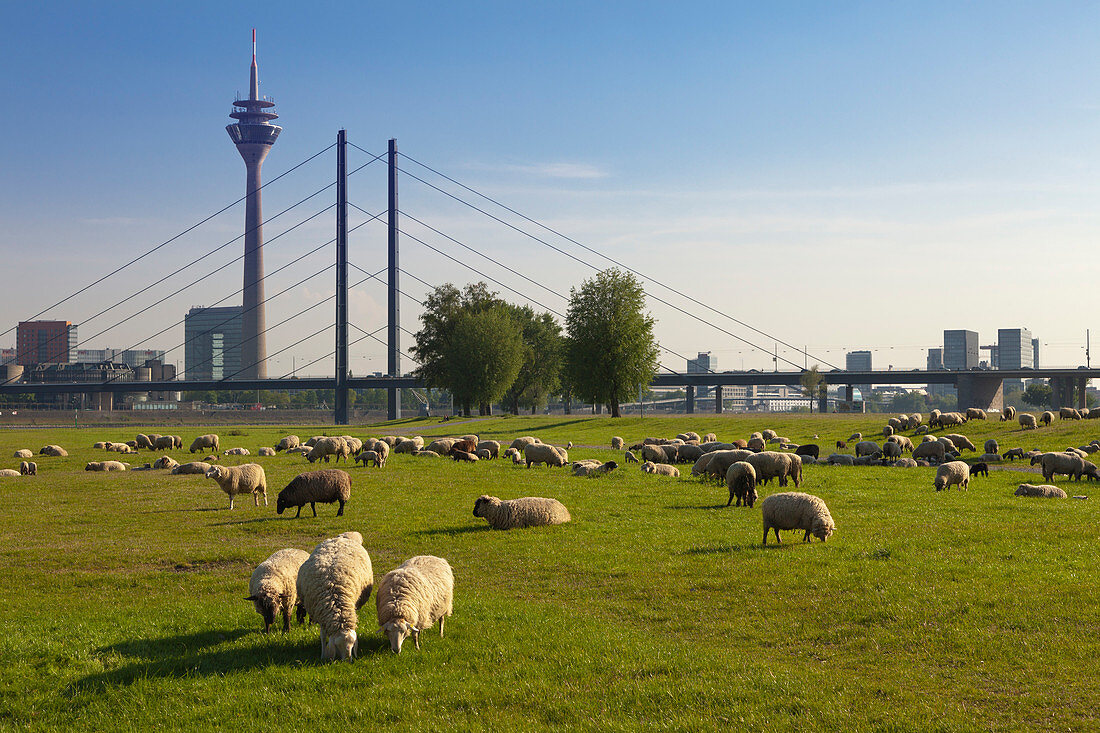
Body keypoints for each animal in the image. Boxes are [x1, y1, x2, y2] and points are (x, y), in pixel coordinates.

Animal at [297, 528, 374, 660]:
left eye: (353, 645)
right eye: (338, 646)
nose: (348, 661)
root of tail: (343, 537)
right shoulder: (320, 614)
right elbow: (323, 636)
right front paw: (323, 655)